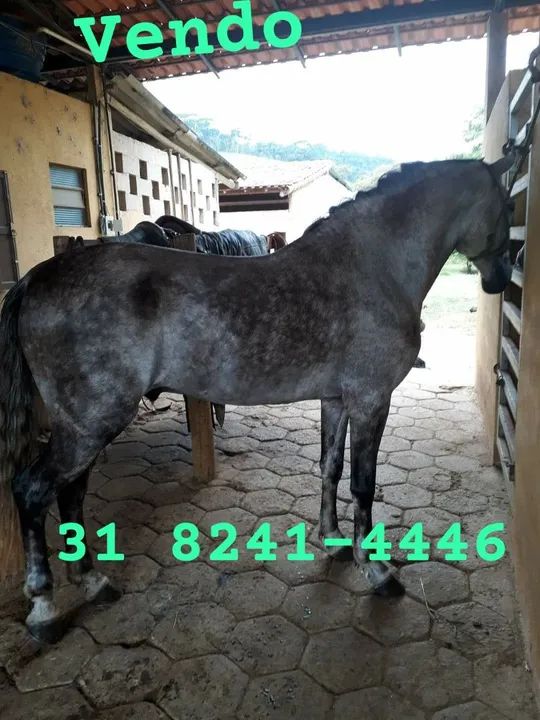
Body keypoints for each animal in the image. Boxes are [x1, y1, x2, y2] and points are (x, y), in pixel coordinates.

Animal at [0, 157, 514, 642]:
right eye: (507, 207)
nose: (500, 280)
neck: (370, 266)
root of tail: (37, 278)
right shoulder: (371, 400)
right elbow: (363, 485)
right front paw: (375, 570)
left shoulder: (337, 399)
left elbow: (330, 468)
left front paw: (332, 542)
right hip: (90, 423)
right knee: (33, 490)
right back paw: (44, 609)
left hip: (83, 426)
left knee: (70, 493)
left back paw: (92, 582)